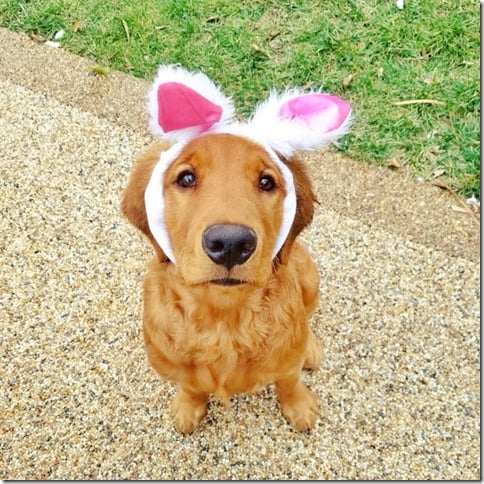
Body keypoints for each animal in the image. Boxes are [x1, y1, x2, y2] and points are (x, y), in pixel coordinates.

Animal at [119, 64, 350, 432]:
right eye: (186, 178)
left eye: (266, 181)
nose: (230, 243)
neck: (223, 321)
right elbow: (191, 384)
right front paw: (188, 407)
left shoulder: (286, 360)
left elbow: (289, 379)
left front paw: (299, 406)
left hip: (309, 276)